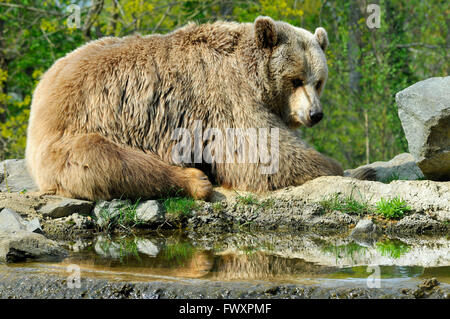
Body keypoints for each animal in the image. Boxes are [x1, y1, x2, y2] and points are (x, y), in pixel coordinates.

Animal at [23, 16, 370, 201]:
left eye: (319, 81)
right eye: (295, 79)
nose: (315, 114)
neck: (253, 75)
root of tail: (42, 88)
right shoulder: (226, 94)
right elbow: (263, 152)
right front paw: (342, 166)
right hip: (78, 128)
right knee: (103, 160)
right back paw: (196, 180)